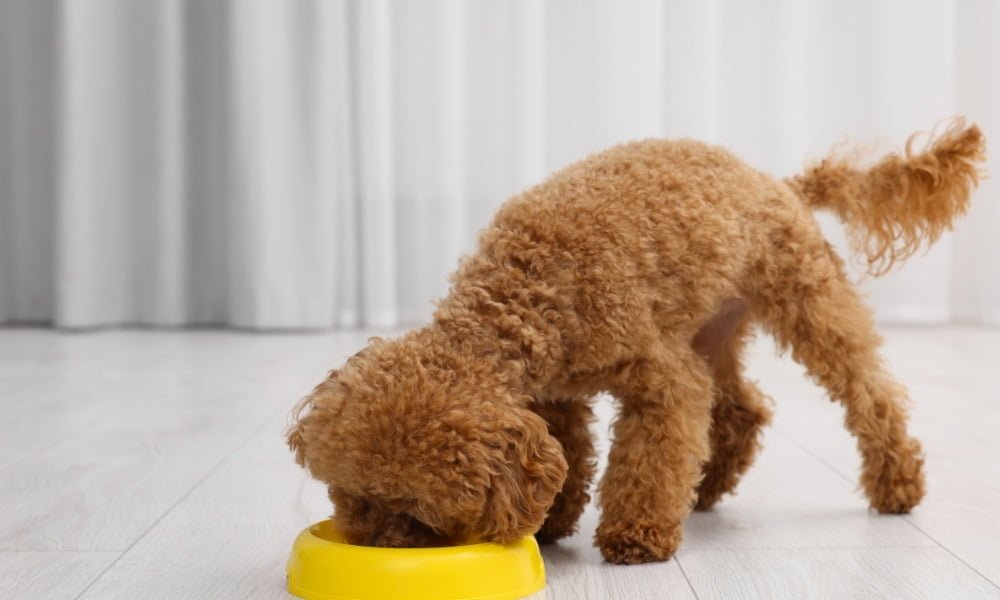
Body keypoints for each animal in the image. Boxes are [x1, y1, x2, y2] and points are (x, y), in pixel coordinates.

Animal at [288, 118, 984, 564]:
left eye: (418, 511)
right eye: (351, 494)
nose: (374, 549)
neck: (525, 293)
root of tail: (781, 184)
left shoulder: (658, 378)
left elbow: (649, 459)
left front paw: (637, 534)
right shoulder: (550, 397)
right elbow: (572, 457)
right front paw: (553, 523)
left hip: (806, 304)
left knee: (869, 393)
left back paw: (897, 484)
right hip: (712, 329)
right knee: (743, 409)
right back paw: (707, 487)